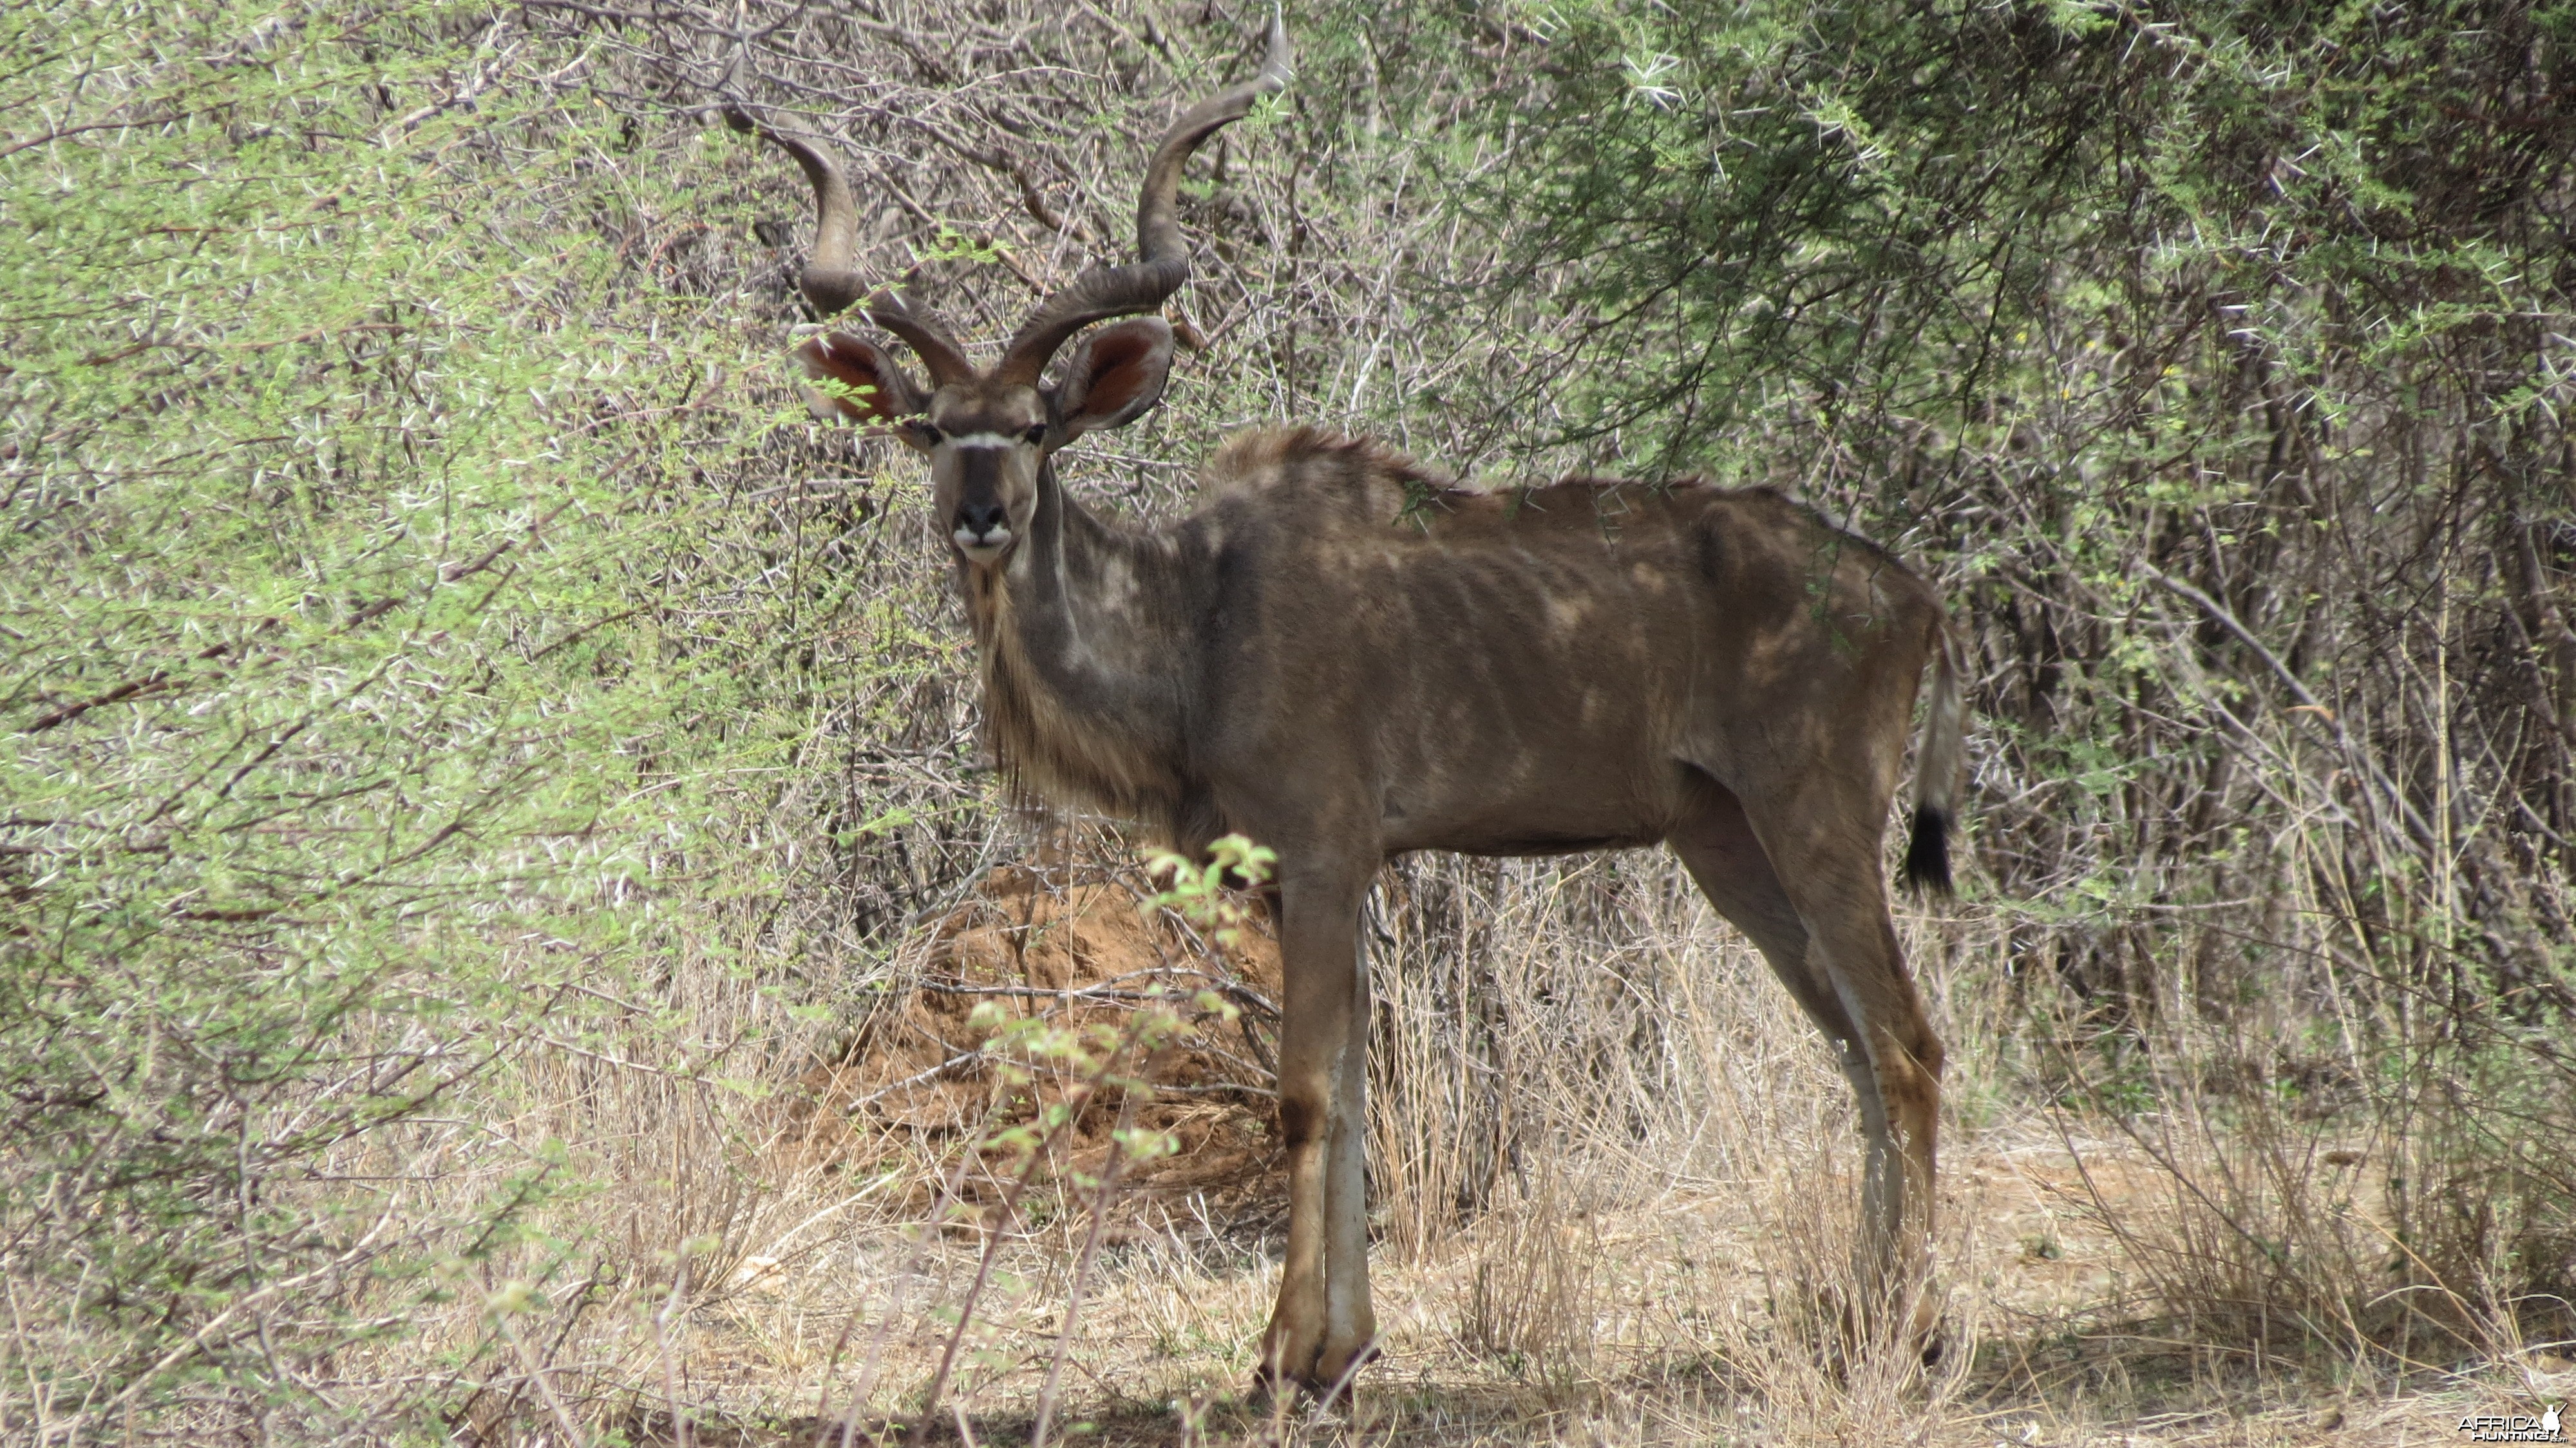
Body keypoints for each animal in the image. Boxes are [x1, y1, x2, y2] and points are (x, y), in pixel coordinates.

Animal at [737, 25, 1958, 1391]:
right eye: (936, 429)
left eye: (1038, 425)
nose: (983, 515)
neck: (1198, 616)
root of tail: (1909, 592)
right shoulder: (1301, 874)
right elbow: (1357, 1083)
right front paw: (1344, 1345)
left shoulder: (1324, 855)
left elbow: (1307, 1092)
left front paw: (1290, 1356)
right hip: (1724, 841)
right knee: (1854, 1045)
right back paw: (1860, 1311)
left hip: (1816, 817)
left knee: (1905, 1042)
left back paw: (1906, 1329)